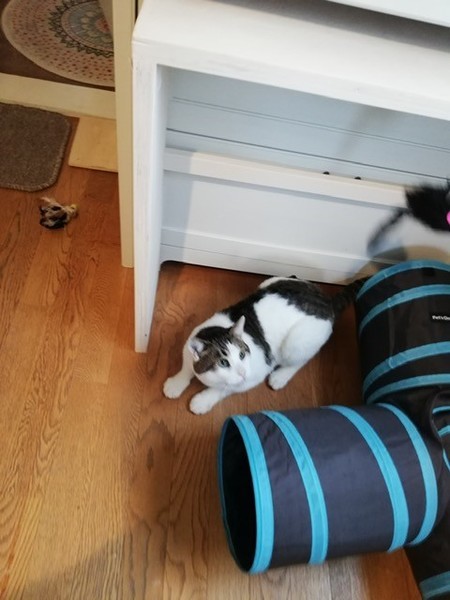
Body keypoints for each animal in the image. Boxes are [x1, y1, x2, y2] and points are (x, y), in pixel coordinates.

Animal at [163, 275, 366, 414]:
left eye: (242, 355)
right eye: (223, 363)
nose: (242, 372)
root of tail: (328, 301)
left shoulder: (254, 375)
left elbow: (223, 389)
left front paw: (203, 400)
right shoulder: (190, 344)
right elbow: (186, 368)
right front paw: (175, 384)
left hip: (296, 342)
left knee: (302, 359)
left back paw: (281, 376)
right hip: (270, 281)